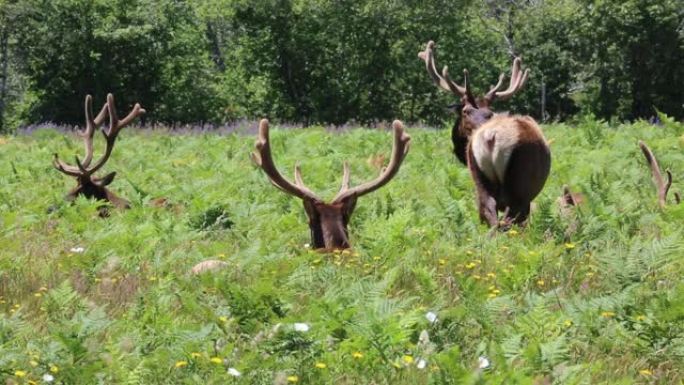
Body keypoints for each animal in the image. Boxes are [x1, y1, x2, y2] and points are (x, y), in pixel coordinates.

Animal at [416, 40, 552, 228]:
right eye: (465, 111)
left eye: (489, 112)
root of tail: (491, 136)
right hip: (519, 184)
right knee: (508, 220)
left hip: (480, 176)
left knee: (489, 211)